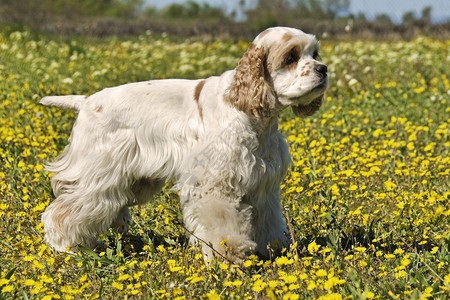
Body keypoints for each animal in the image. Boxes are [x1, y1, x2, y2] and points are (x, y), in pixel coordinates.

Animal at [40, 27, 328, 262]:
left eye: (314, 53)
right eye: (290, 57)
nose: (323, 68)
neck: (250, 112)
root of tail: (86, 101)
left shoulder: (263, 184)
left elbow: (270, 222)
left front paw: (274, 251)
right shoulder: (216, 184)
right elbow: (223, 225)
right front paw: (228, 257)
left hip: (129, 182)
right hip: (98, 178)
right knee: (62, 212)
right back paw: (66, 248)